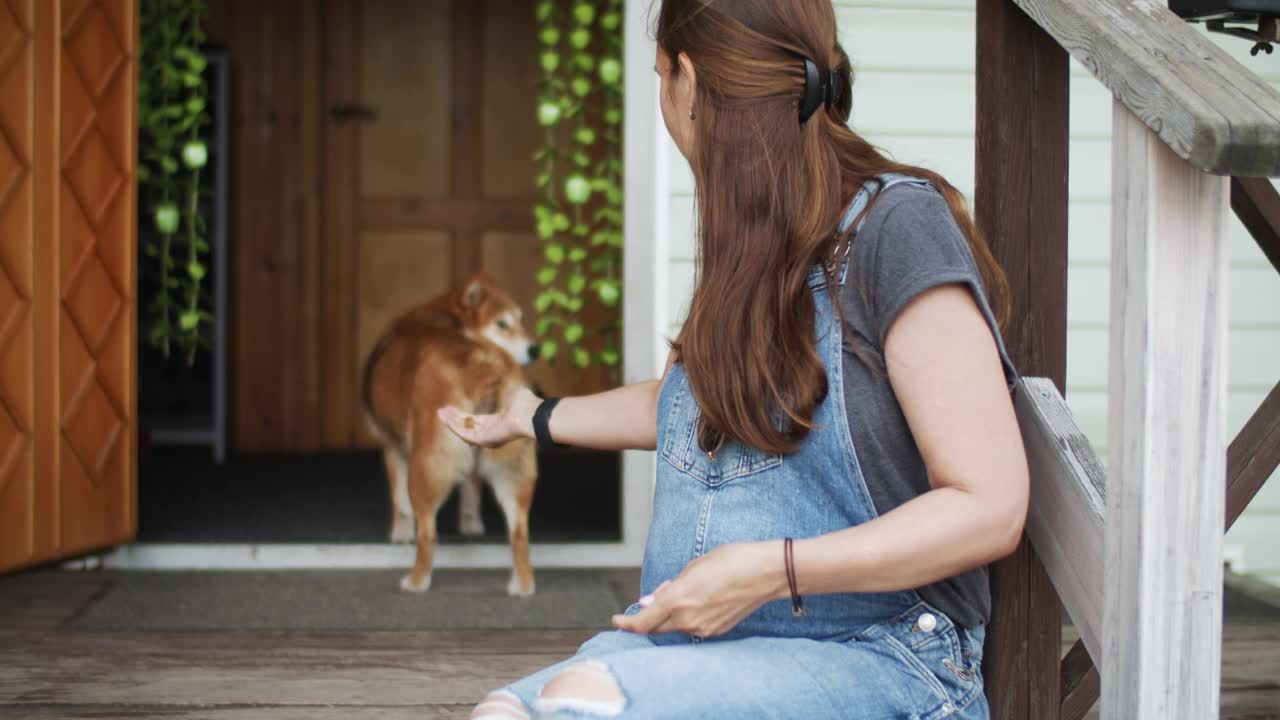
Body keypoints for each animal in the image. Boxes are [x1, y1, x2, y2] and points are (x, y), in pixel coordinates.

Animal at [360, 270, 540, 594]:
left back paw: (415, 581)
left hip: (426, 467)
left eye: (518, 320)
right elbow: (471, 487)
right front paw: (471, 525)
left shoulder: (392, 447)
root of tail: (482, 363)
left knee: (427, 532)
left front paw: (399, 534)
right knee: (519, 533)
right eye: (504, 324)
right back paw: (522, 586)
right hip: (514, 469)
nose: (536, 349)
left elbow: (399, 503)